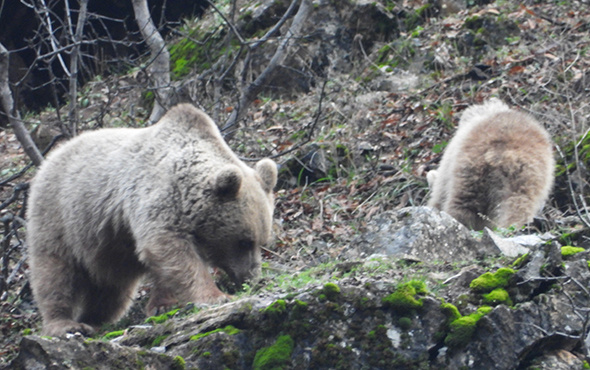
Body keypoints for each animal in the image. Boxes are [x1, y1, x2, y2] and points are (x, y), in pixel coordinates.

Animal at [26, 103, 278, 336]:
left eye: (262, 242)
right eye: (244, 241)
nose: (251, 277)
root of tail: (49, 158)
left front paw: (163, 304)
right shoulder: (156, 197)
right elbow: (170, 250)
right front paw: (217, 296)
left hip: (108, 246)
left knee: (111, 287)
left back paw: (95, 319)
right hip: (60, 215)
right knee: (55, 272)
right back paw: (66, 323)